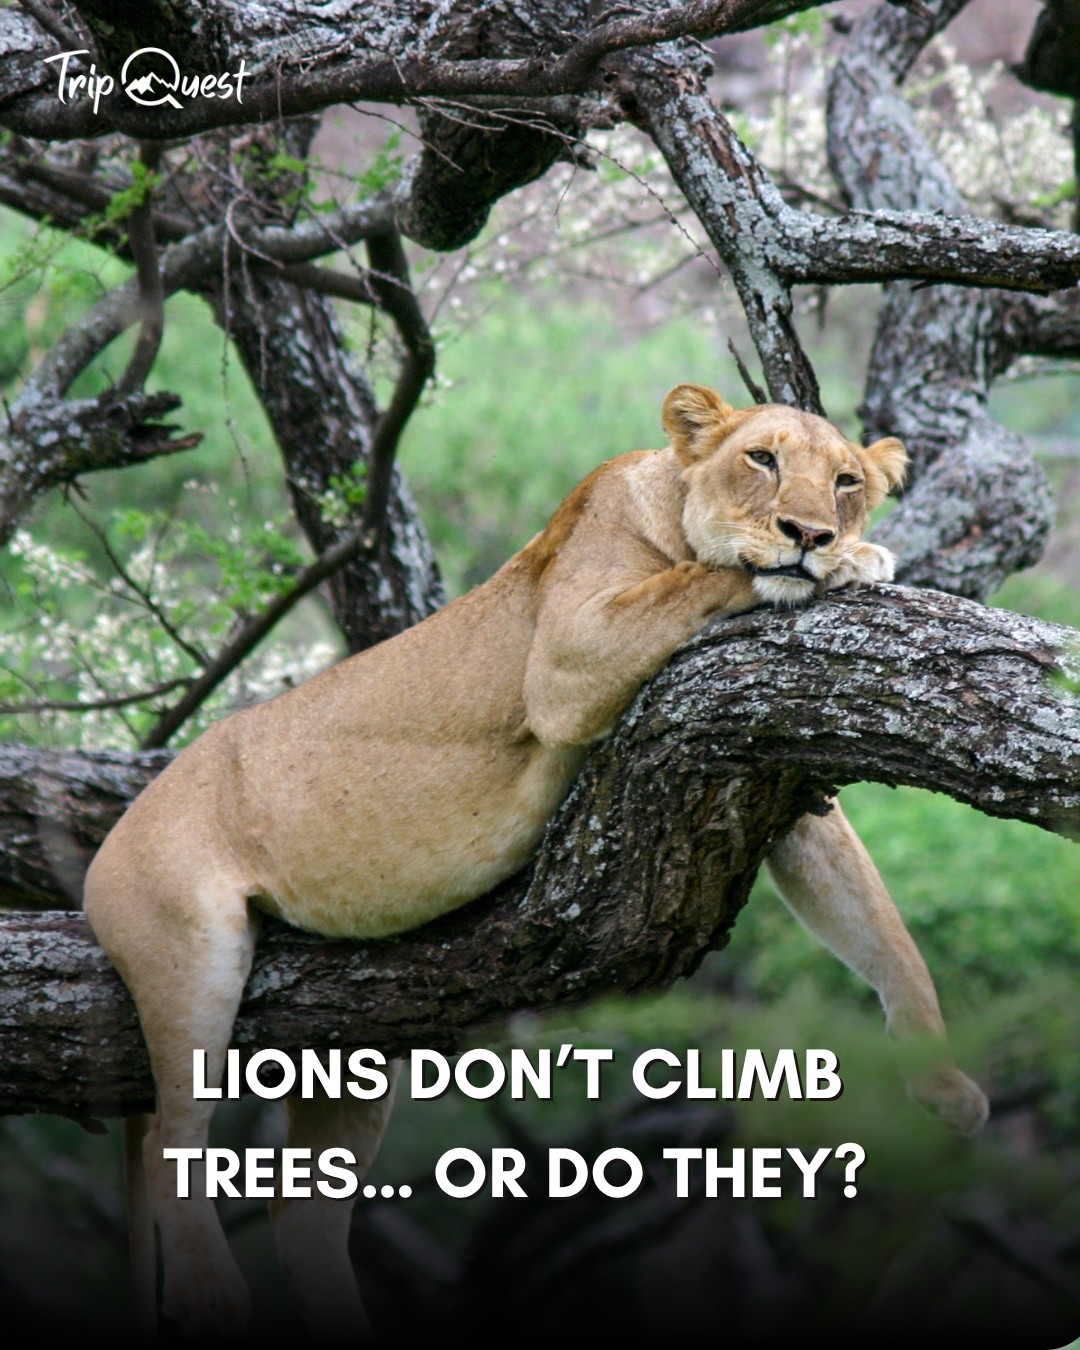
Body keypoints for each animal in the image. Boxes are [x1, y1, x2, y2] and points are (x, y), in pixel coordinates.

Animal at [82, 383, 988, 1340]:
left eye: (846, 480)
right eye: (763, 459)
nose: (810, 531)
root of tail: (109, 842)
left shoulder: (768, 770)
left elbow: (878, 923)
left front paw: (943, 1083)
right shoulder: (568, 659)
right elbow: (710, 577)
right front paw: (852, 557)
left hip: (349, 1058)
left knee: (302, 1212)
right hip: (190, 950)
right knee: (173, 1139)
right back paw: (209, 1291)